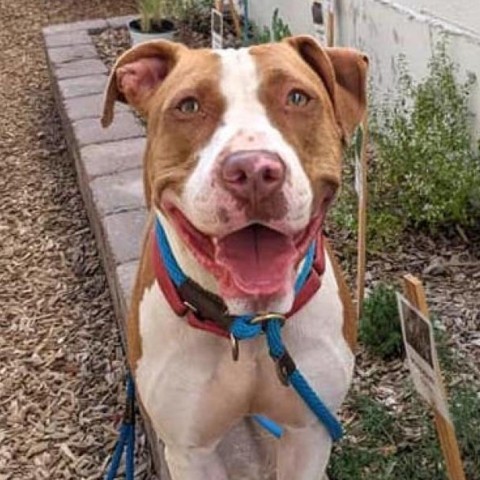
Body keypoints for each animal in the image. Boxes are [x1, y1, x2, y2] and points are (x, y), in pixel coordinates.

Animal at [101, 35, 368, 478]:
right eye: (188, 106)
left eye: (298, 97)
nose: (254, 171)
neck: (250, 324)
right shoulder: (189, 450)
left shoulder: (310, 433)